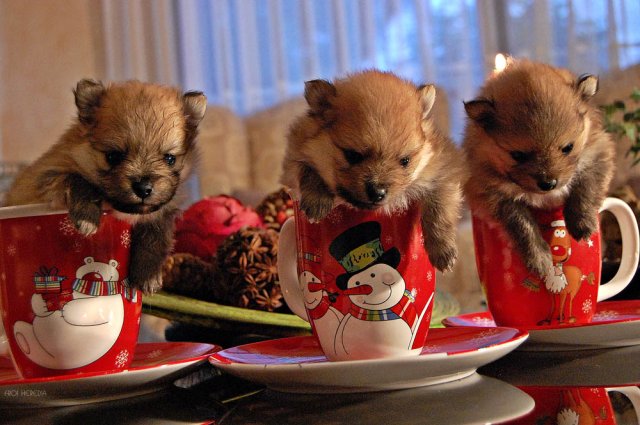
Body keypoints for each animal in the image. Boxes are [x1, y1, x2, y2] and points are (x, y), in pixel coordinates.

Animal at [5, 79, 207, 293]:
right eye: (113, 156)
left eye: (170, 159)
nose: (143, 188)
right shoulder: (44, 177)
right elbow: (78, 179)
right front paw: (87, 218)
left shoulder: (165, 207)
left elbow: (157, 229)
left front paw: (148, 273)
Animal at [280, 70, 465, 272]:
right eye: (352, 155)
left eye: (405, 161)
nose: (378, 192)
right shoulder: (295, 158)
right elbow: (307, 170)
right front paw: (317, 201)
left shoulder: (442, 169)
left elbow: (439, 208)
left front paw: (443, 251)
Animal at [462, 59, 615, 276]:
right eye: (518, 155)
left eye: (568, 147)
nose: (548, 183)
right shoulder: (494, 194)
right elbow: (521, 224)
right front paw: (540, 258)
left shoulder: (597, 154)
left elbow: (586, 188)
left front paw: (582, 222)